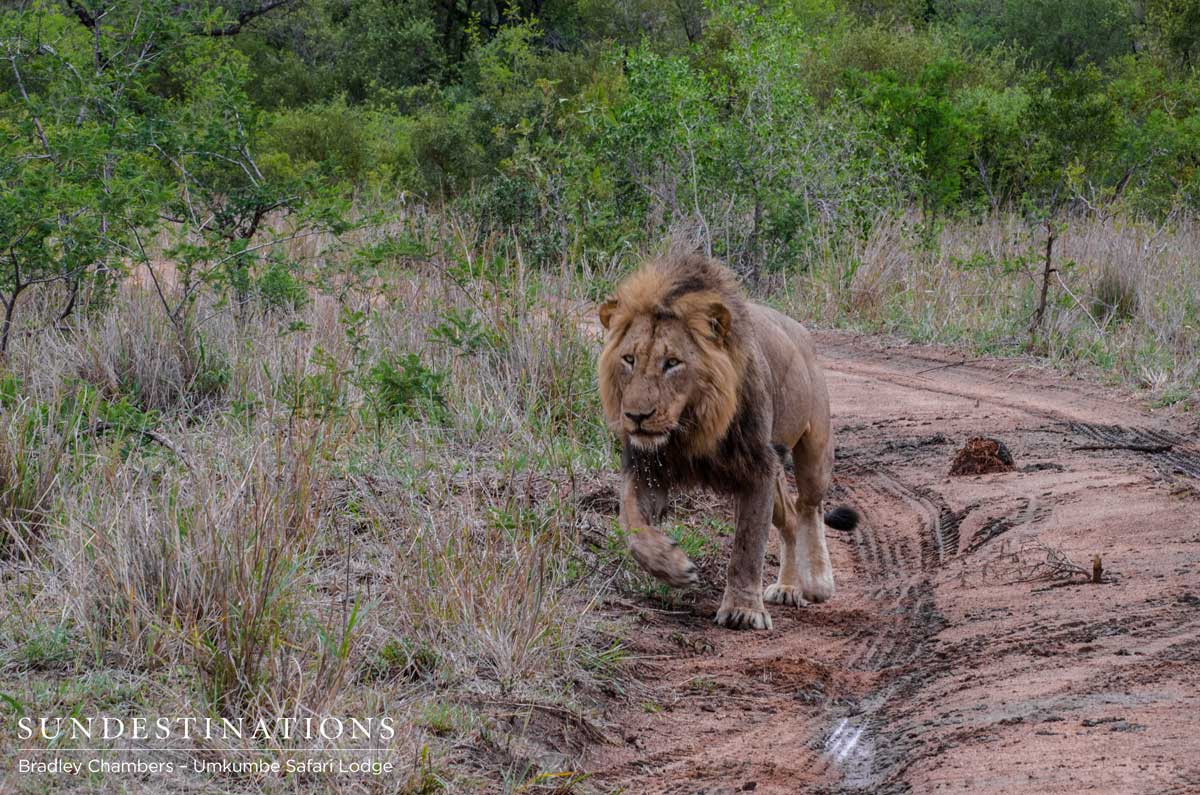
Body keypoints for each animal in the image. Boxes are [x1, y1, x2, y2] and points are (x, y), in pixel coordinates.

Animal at [597, 254, 858, 630]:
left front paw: (743, 610)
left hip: (814, 447)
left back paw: (816, 581)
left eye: (672, 363)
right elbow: (631, 524)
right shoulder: (648, 467)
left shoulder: (757, 468)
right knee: (791, 518)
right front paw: (672, 566)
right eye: (629, 359)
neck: (690, 427)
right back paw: (788, 587)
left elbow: (748, 546)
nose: (636, 416)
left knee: (810, 506)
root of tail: (799, 330)